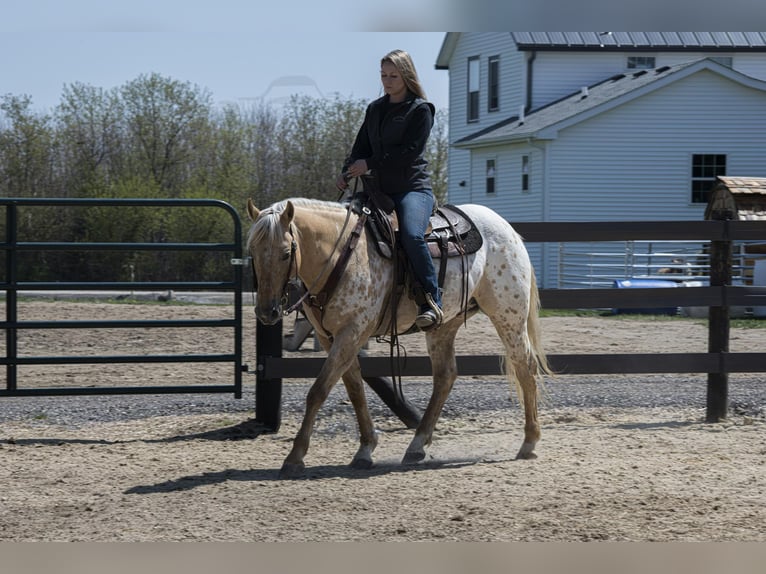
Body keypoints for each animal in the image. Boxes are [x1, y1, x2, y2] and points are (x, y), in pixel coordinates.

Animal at [246, 196, 552, 480]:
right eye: (252, 252)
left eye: (286, 252)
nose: (267, 312)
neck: (341, 254)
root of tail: (506, 228)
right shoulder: (331, 337)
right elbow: (354, 388)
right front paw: (365, 449)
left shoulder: (352, 332)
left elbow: (318, 391)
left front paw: (295, 457)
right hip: (444, 326)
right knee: (445, 376)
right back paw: (417, 445)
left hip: (508, 315)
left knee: (525, 367)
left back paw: (529, 442)